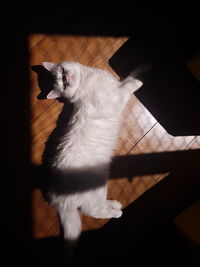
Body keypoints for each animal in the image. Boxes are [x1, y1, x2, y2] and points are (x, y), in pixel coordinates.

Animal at [42, 61, 143, 244]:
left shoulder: (116, 84)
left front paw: (144, 68)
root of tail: (57, 200)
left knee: (96, 207)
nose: (66, 79)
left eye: (62, 73)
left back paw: (115, 204)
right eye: (63, 84)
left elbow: (130, 75)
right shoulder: (117, 96)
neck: (87, 81)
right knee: (94, 211)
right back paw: (117, 212)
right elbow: (130, 85)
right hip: (96, 191)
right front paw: (140, 81)